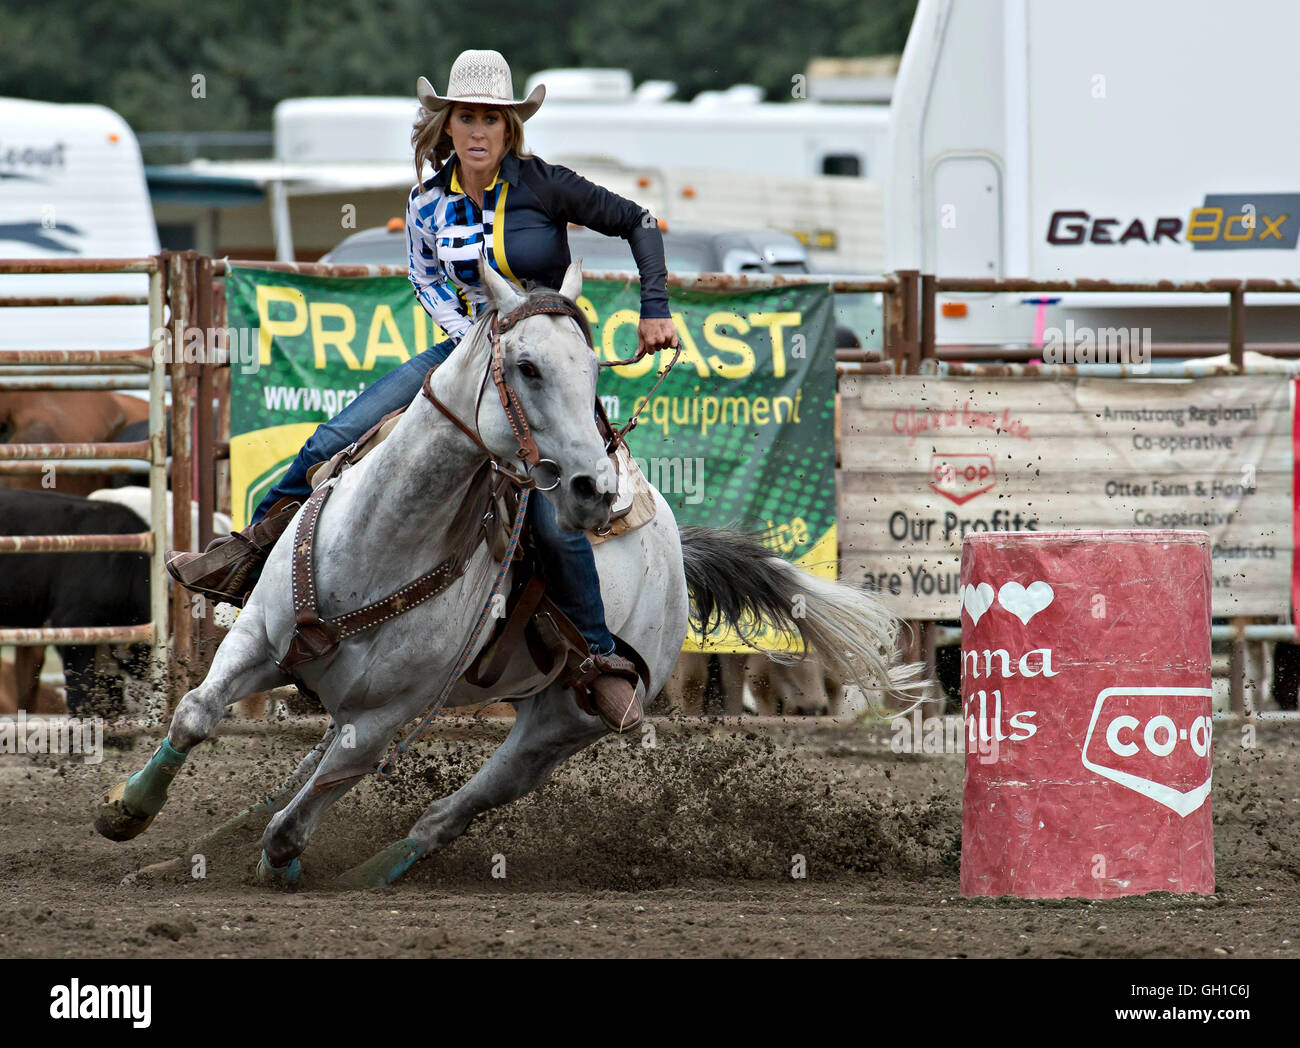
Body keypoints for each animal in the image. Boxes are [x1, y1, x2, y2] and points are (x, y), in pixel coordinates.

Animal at [94, 260, 925, 884]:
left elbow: (296, 822)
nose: (594, 488)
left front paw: (282, 863)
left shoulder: (386, 718)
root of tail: (674, 549)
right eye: (527, 366)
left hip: (560, 726)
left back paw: (369, 872)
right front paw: (126, 810)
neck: (382, 542)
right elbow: (196, 714)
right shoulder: (260, 641)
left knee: (453, 811)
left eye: (592, 369)